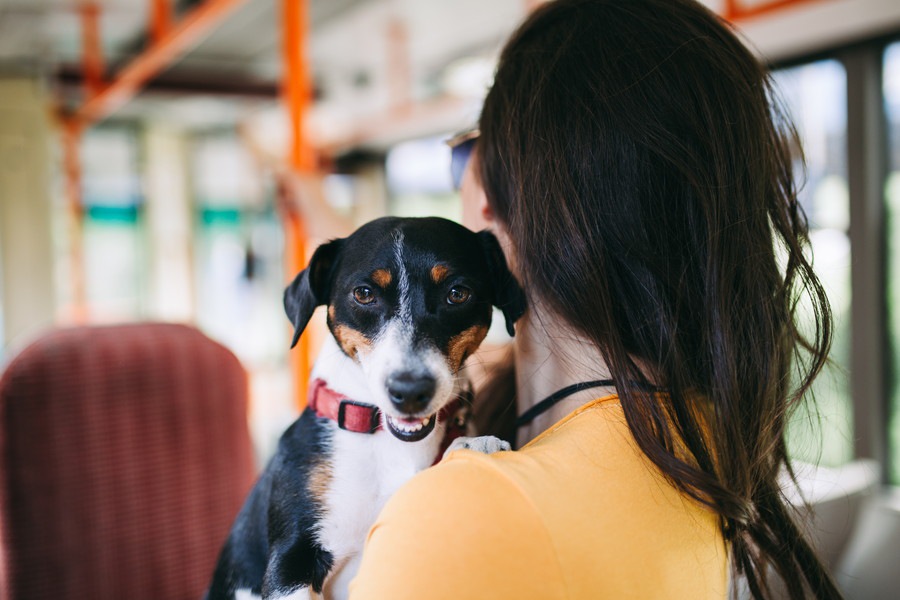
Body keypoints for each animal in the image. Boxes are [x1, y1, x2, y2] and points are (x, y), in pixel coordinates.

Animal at [205, 217, 524, 600]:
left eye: (457, 293)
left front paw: (472, 444)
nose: (409, 391)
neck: (385, 441)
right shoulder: (291, 561)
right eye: (364, 294)